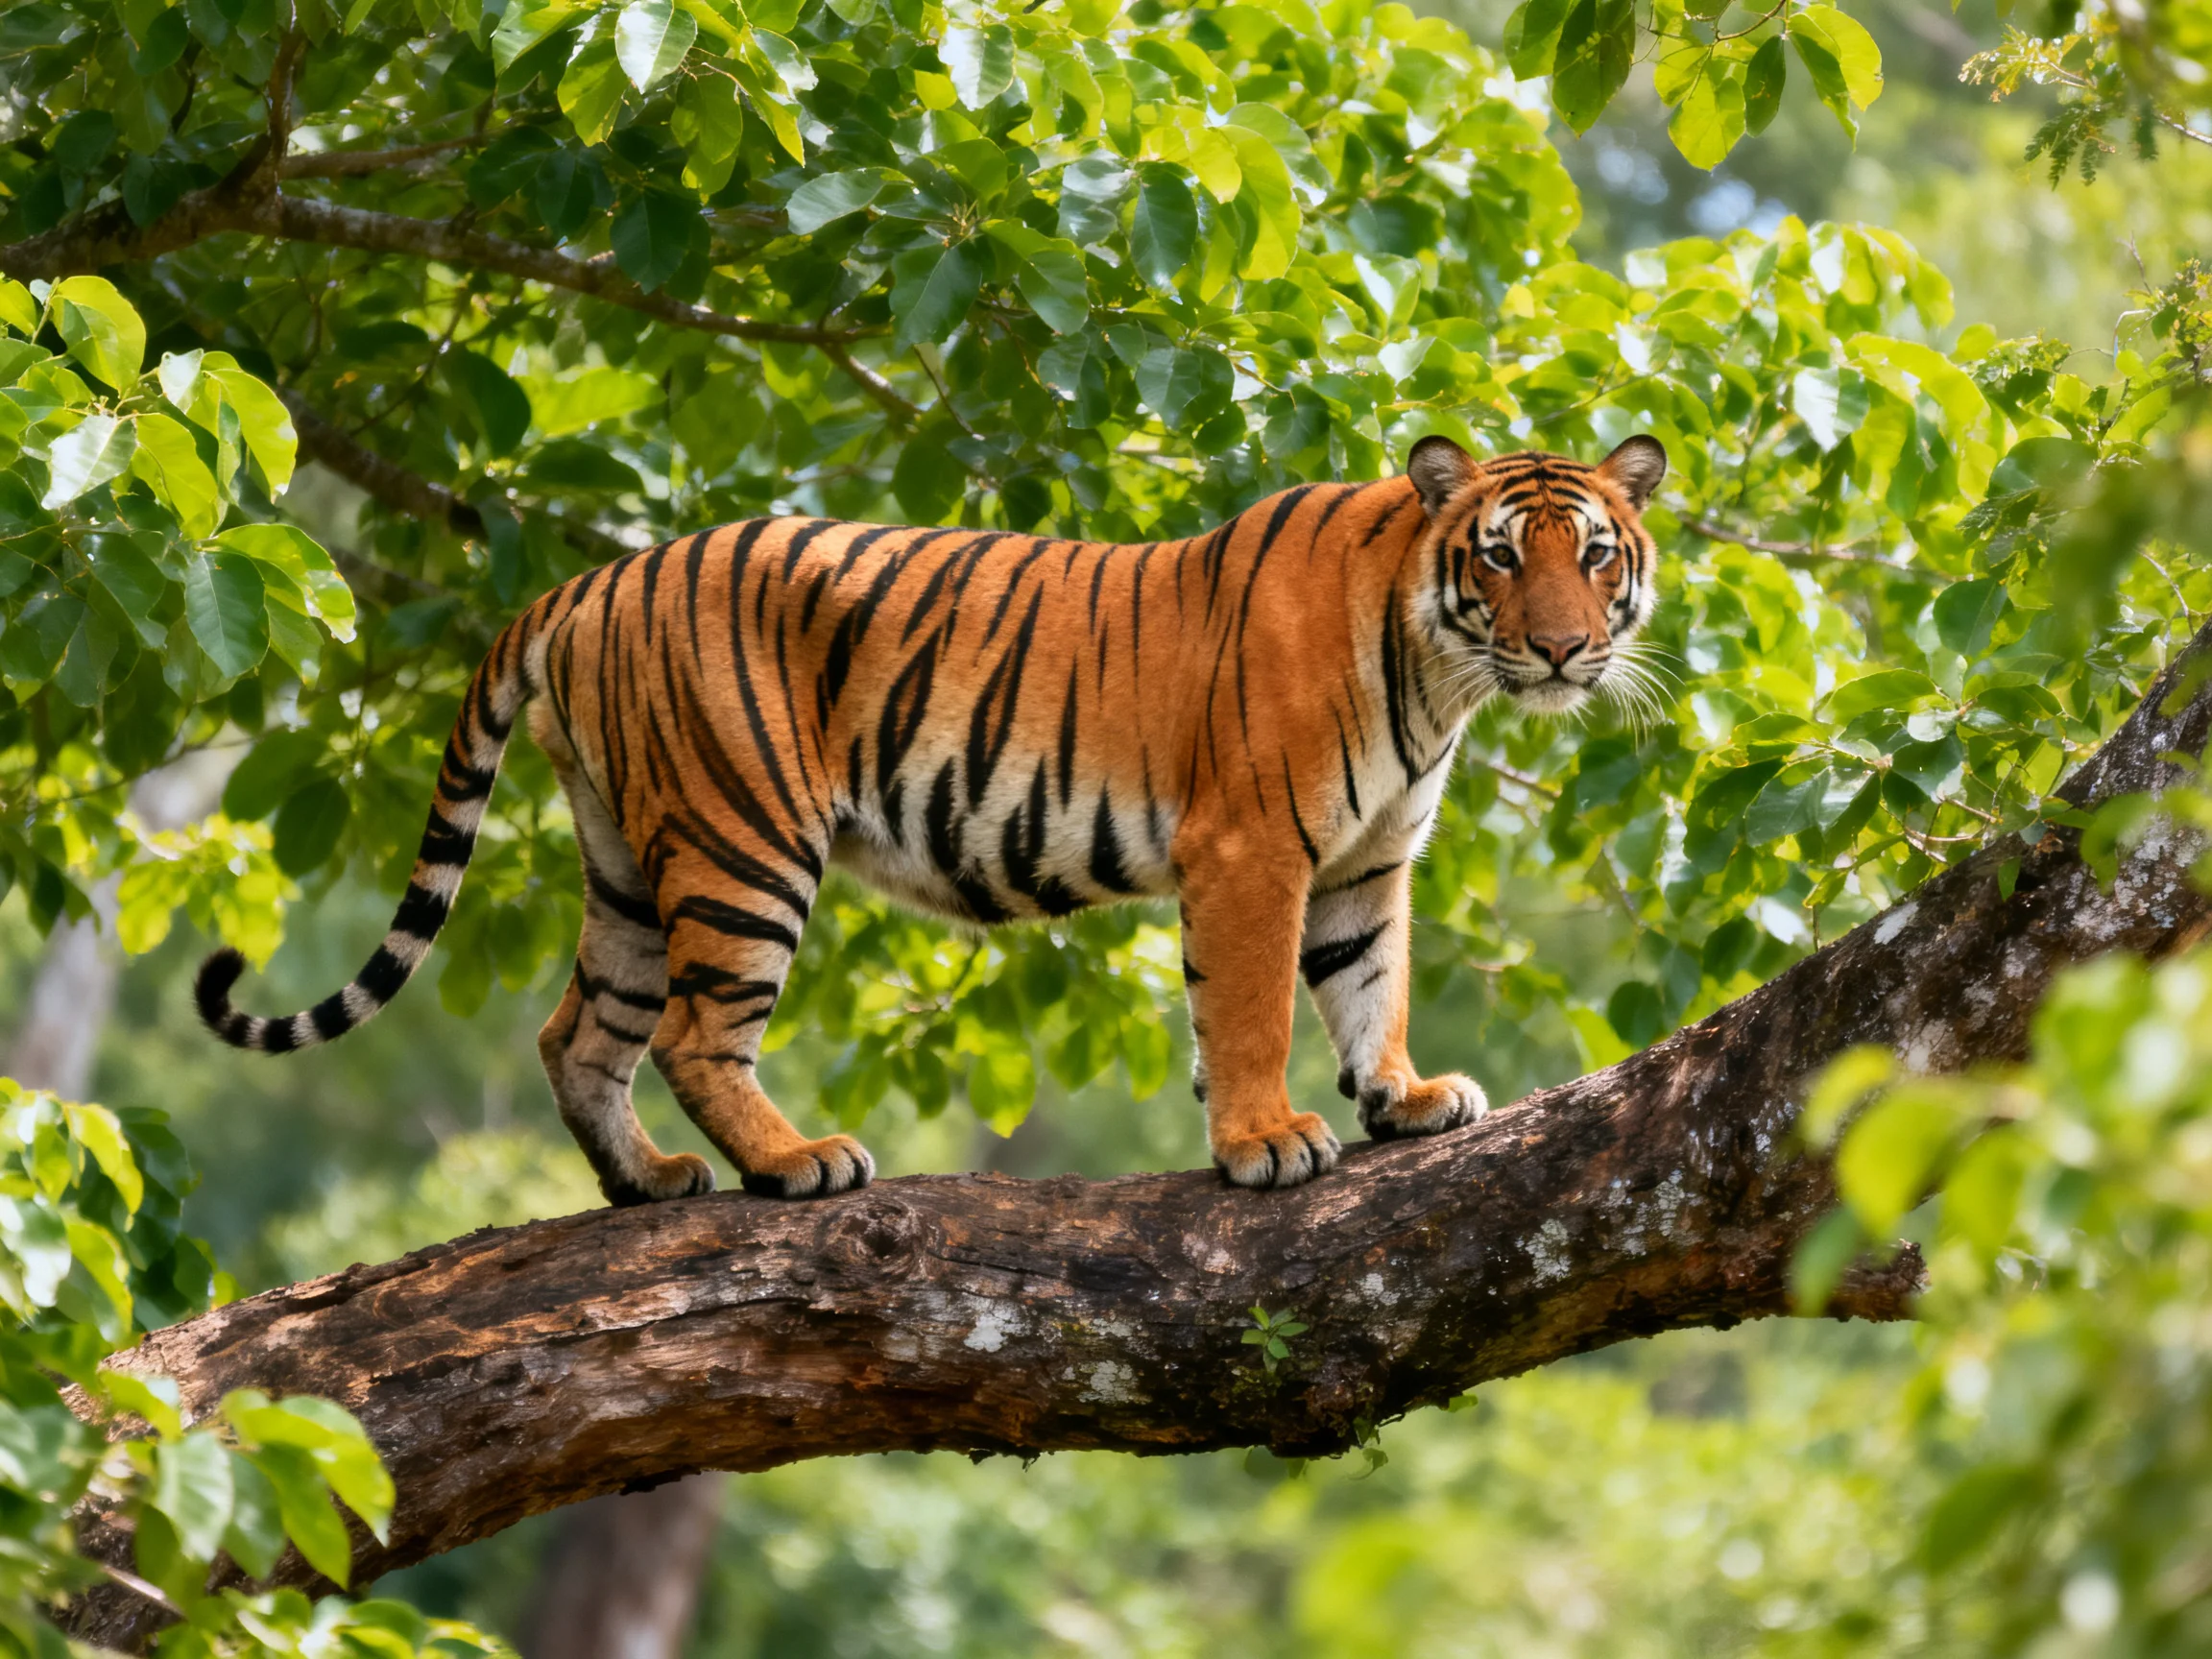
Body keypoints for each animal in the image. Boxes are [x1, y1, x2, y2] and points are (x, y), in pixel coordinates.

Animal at [196, 434, 1666, 1202]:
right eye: (1499, 557)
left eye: (1595, 557)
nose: (1561, 649)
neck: (1438, 671)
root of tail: (583, 584)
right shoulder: (1254, 850)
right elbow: (1252, 1009)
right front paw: (1266, 1139)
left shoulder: (1365, 868)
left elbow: (1371, 986)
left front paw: (1405, 1099)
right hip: (742, 842)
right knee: (688, 1033)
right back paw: (798, 1162)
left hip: (626, 857)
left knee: (578, 1033)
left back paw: (650, 1182)